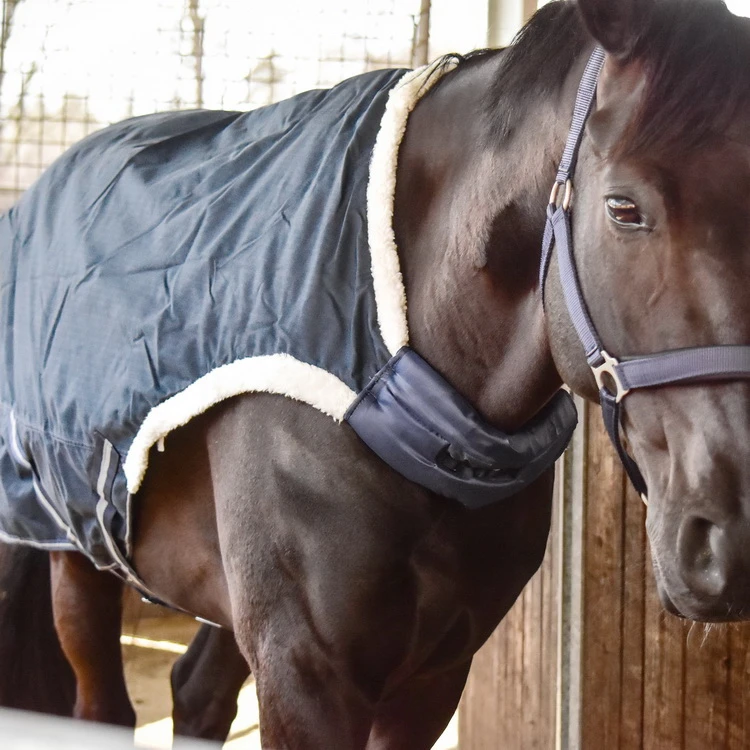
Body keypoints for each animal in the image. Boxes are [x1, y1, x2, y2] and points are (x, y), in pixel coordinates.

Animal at [3, 0, 750, 747]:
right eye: (624, 208)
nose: (736, 538)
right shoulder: (305, 672)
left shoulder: (433, 673)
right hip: (75, 550)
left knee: (197, 692)